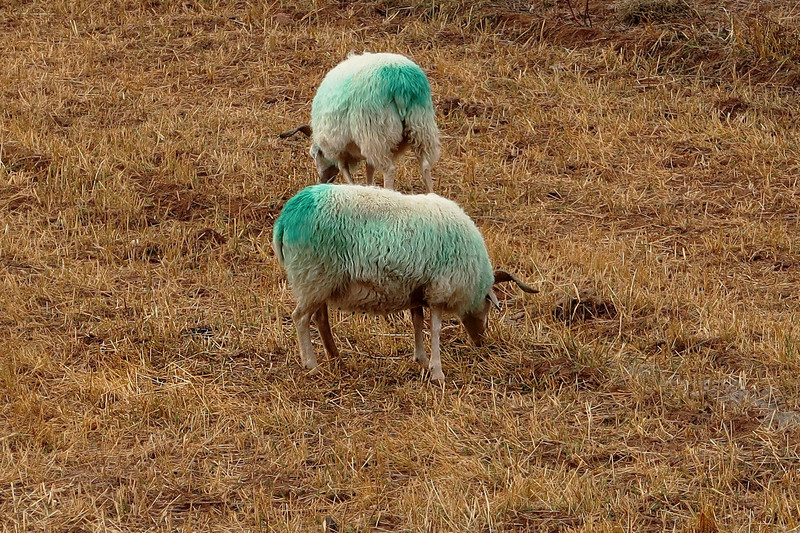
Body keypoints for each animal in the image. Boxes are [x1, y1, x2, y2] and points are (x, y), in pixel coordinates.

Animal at [272, 184, 536, 382]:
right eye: (489, 305)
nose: (482, 341)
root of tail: (288, 216)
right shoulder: (439, 288)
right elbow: (435, 328)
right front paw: (437, 371)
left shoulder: (417, 288)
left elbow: (417, 320)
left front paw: (421, 359)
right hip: (313, 275)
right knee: (300, 318)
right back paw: (311, 363)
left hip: (321, 281)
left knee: (320, 318)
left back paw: (336, 359)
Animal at [280, 51, 444, 193]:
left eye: (314, 155)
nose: (322, 180)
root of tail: (400, 79)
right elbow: (369, 168)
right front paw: (369, 187)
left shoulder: (338, 148)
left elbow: (346, 171)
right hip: (420, 126)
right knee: (425, 166)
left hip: (375, 130)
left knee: (390, 171)